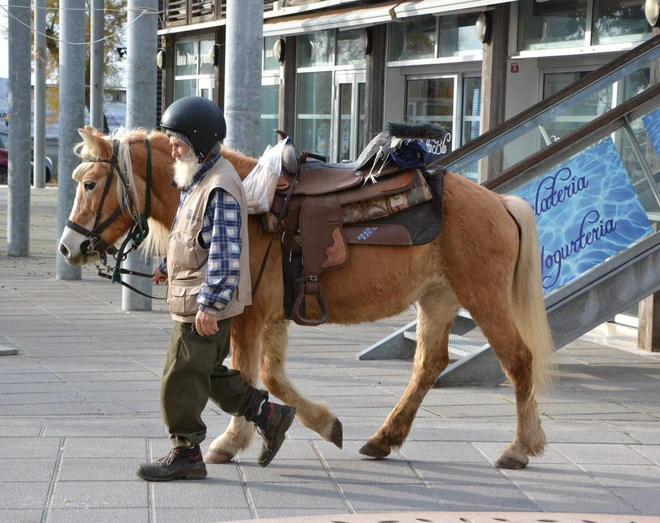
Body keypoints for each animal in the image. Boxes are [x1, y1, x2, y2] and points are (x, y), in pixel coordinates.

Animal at [58, 126, 554, 470]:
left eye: (89, 184)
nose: (69, 247)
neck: (247, 205)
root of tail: (499, 202)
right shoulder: (274, 317)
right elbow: (271, 378)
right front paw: (320, 423)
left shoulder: (248, 316)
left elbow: (248, 373)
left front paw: (229, 443)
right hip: (437, 301)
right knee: (428, 365)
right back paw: (384, 438)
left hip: (484, 299)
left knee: (518, 361)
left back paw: (520, 447)